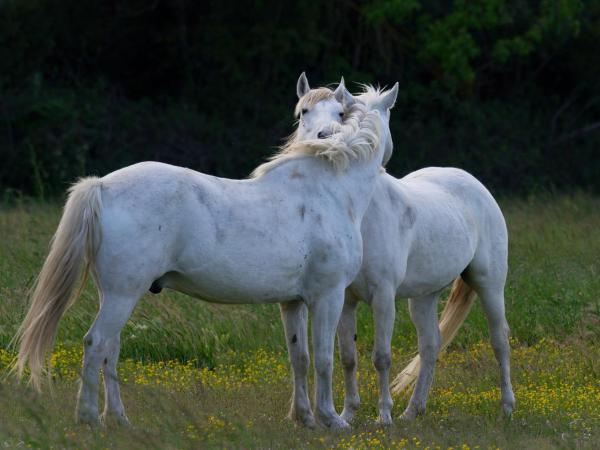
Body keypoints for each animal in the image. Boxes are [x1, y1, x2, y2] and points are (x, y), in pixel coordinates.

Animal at [12, 81, 394, 428]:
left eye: (340, 113)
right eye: (304, 112)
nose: (323, 133)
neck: (327, 189)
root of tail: (102, 185)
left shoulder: (292, 302)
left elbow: (298, 358)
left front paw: (304, 418)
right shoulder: (328, 297)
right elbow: (324, 359)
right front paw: (332, 419)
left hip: (116, 295)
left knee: (111, 350)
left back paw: (118, 418)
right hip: (122, 295)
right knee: (96, 344)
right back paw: (89, 418)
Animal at [292, 74, 512, 426]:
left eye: (340, 113)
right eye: (304, 112)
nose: (323, 137)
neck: (363, 213)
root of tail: (472, 183)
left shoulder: (383, 297)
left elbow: (381, 357)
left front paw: (383, 416)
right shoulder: (345, 300)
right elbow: (348, 357)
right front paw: (348, 413)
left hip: (489, 283)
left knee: (499, 340)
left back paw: (506, 406)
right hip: (423, 297)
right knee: (431, 345)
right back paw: (413, 410)